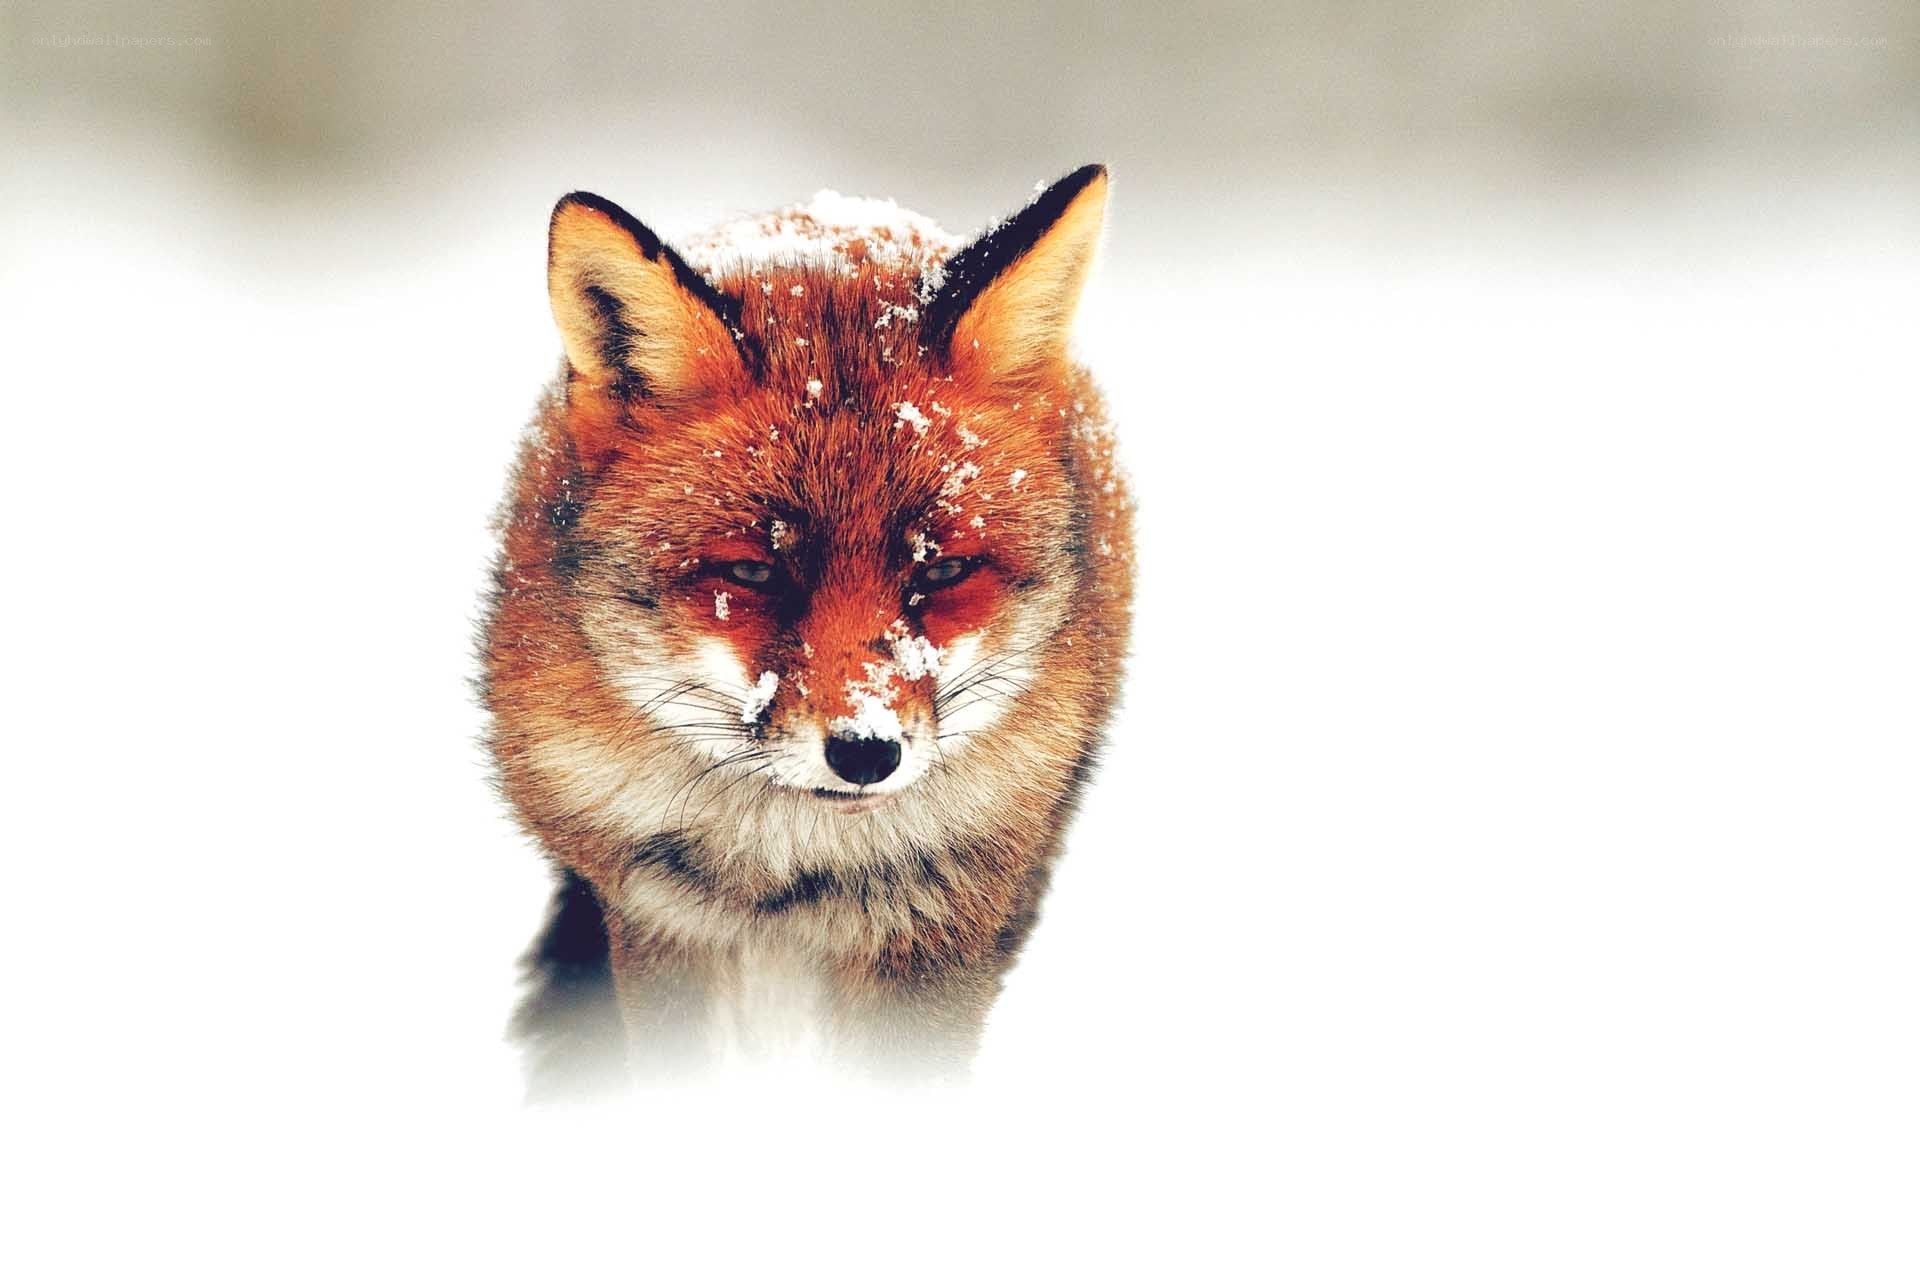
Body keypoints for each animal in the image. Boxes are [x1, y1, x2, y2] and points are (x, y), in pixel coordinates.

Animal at [481, 165, 1133, 1094]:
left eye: (941, 572)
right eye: (755, 573)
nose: (866, 752)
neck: (790, 861)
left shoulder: (937, 924)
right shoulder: (658, 914)